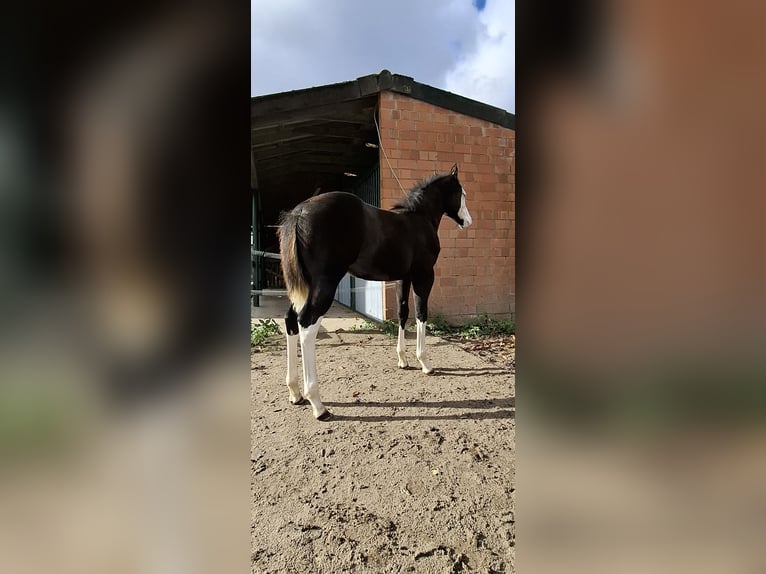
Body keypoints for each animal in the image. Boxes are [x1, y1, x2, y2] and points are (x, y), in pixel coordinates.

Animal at [278, 163, 473, 420]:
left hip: (304, 287)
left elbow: (402, 313)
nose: (468, 221)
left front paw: (403, 360)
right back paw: (318, 405)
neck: (419, 219)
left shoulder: (403, 278)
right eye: (462, 193)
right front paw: (425, 364)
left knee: (291, 320)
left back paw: (295, 393)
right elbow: (421, 314)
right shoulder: (424, 276)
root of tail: (299, 212)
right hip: (324, 284)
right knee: (306, 325)